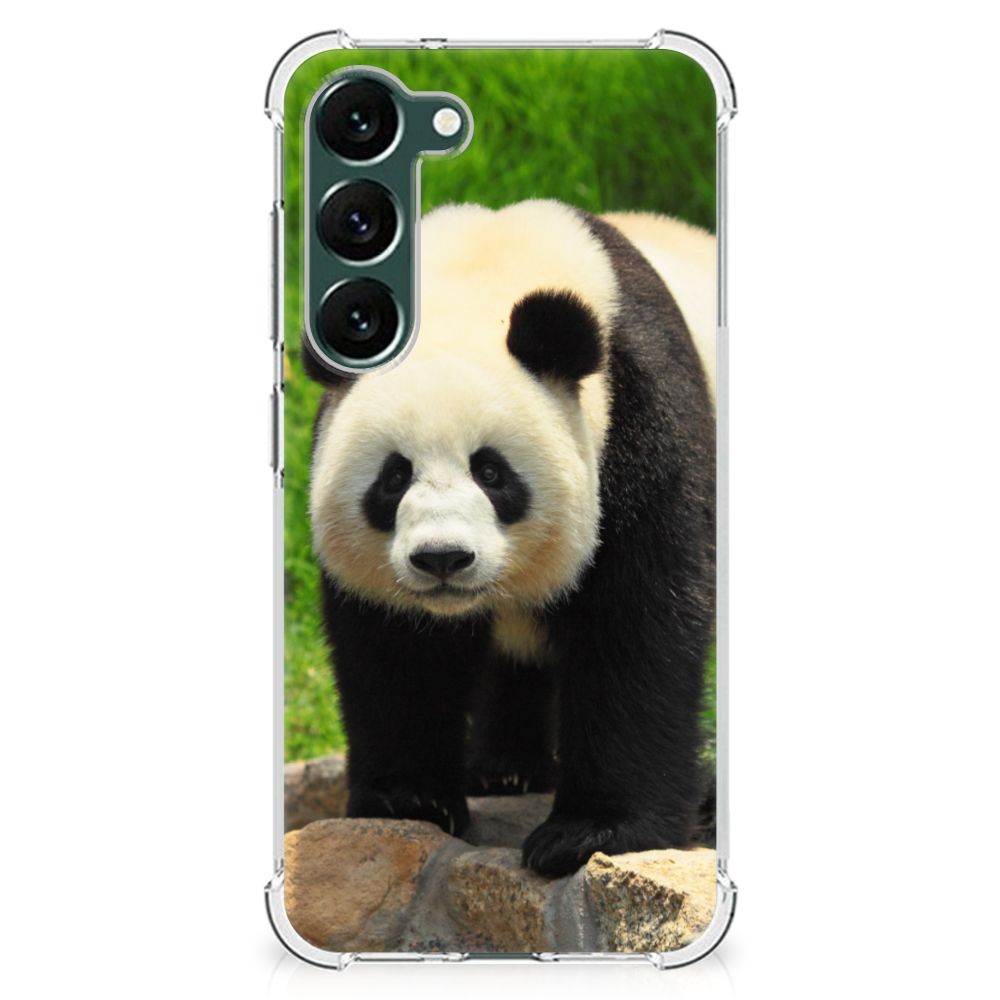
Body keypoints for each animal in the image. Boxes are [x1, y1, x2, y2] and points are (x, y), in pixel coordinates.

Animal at [303, 200, 716, 878]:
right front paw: (408, 799)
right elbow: (397, 649)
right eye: (394, 477)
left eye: (492, 472)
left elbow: (638, 624)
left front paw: (591, 833)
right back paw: (504, 768)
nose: (442, 558)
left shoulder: (642, 419)